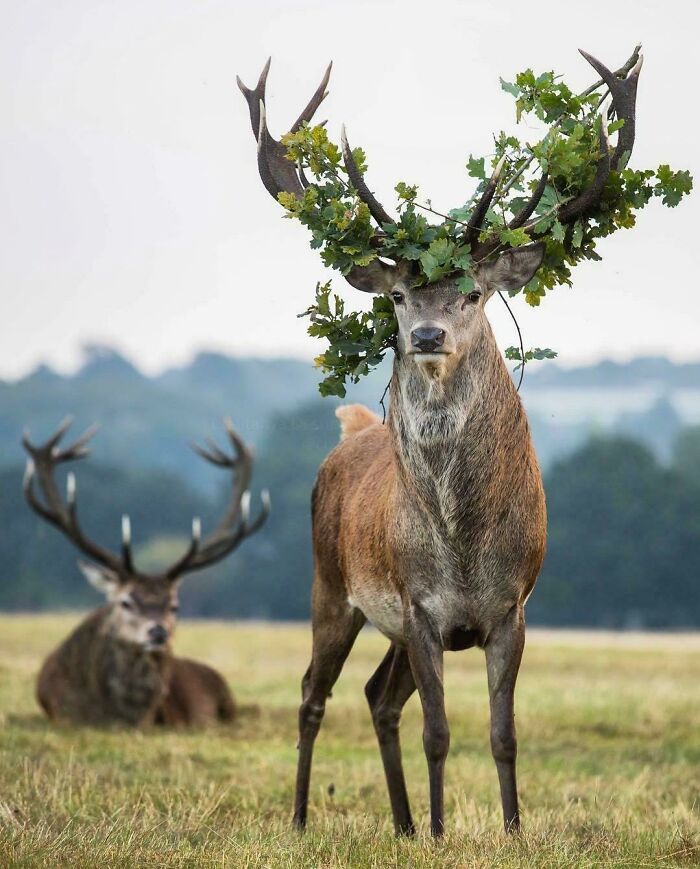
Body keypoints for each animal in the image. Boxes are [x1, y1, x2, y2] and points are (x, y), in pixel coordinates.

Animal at [238, 47, 644, 836]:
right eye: (398, 296)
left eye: (473, 292)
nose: (426, 335)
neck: (461, 543)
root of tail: (352, 430)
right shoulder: (419, 605)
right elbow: (438, 730)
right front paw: (438, 829)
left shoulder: (511, 608)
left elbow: (502, 733)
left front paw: (511, 829)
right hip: (332, 585)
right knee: (312, 693)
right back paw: (302, 818)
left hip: (385, 622)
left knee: (376, 696)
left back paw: (396, 822)